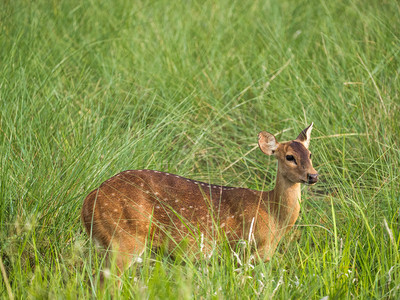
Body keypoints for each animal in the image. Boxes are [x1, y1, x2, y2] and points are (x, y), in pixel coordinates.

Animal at [81, 122, 318, 276]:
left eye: (310, 154)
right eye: (289, 157)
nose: (313, 176)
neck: (273, 215)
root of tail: (89, 201)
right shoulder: (243, 251)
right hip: (124, 237)